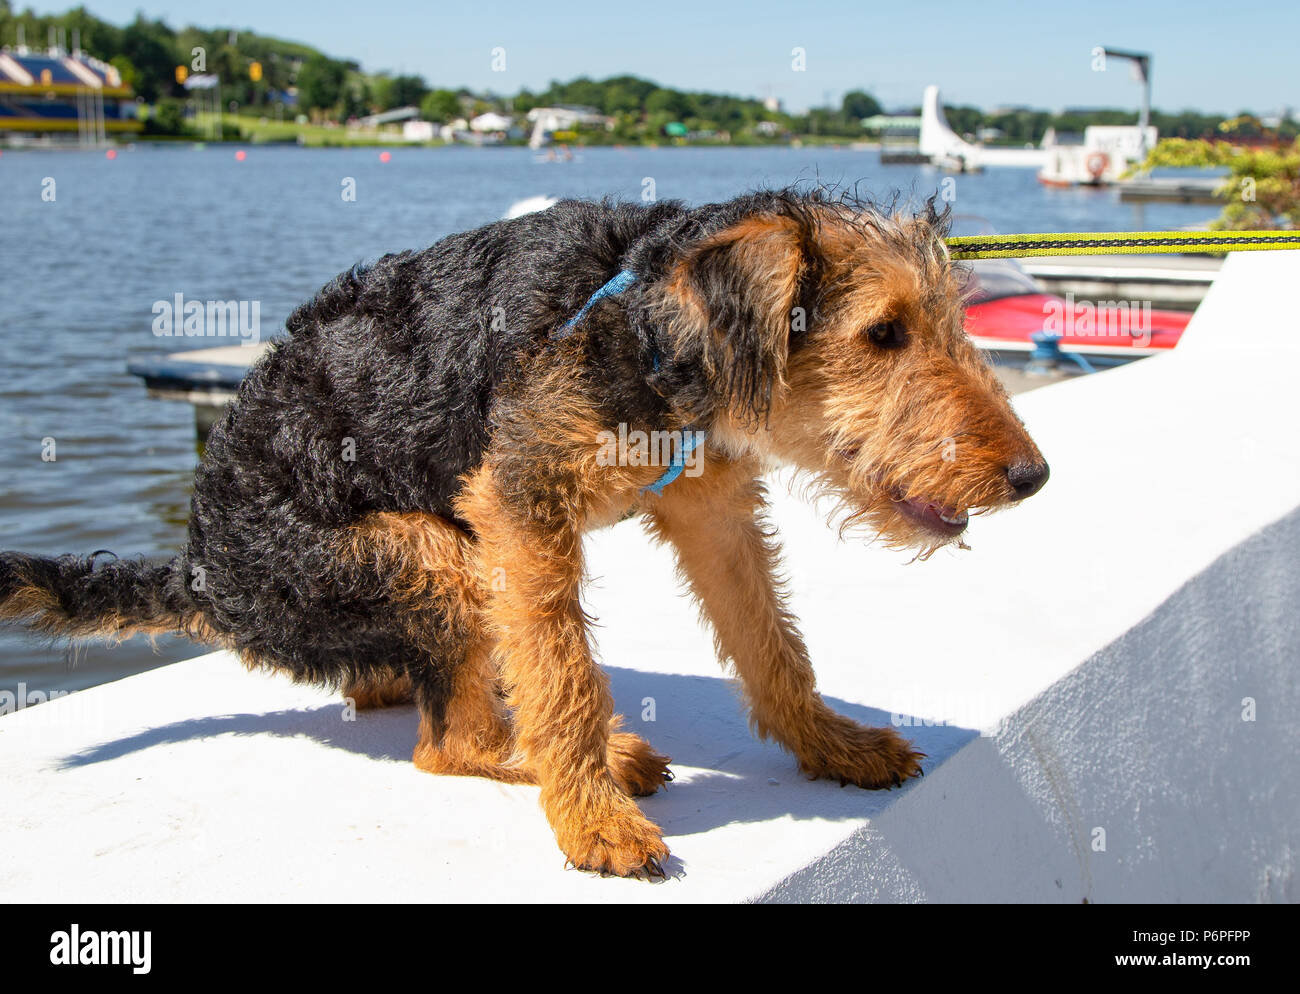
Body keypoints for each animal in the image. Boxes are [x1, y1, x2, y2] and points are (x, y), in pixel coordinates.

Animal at [2, 188, 1045, 878]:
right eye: (882, 333)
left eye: (947, 319)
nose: (1031, 477)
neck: (648, 323)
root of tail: (202, 570)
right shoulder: (519, 504)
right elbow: (563, 674)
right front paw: (591, 821)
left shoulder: (712, 508)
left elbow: (771, 646)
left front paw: (832, 747)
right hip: (431, 558)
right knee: (451, 742)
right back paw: (587, 763)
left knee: (414, 696)